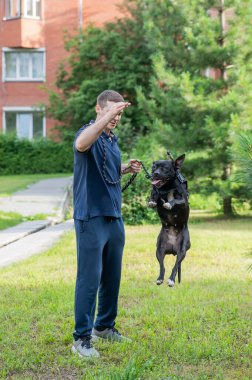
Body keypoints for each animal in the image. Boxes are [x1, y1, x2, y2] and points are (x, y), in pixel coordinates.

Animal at [151, 153, 190, 286]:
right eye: (154, 167)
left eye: (165, 168)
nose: (155, 173)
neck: (167, 187)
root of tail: (173, 249)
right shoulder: (157, 192)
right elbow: (155, 195)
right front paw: (152, 201)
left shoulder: (183, 201)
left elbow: (175, 201)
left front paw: (169, 203)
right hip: (159, 250)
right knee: (162, 266)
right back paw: (160, 278)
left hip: (182, 251)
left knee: (176, 265)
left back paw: (171, 280)